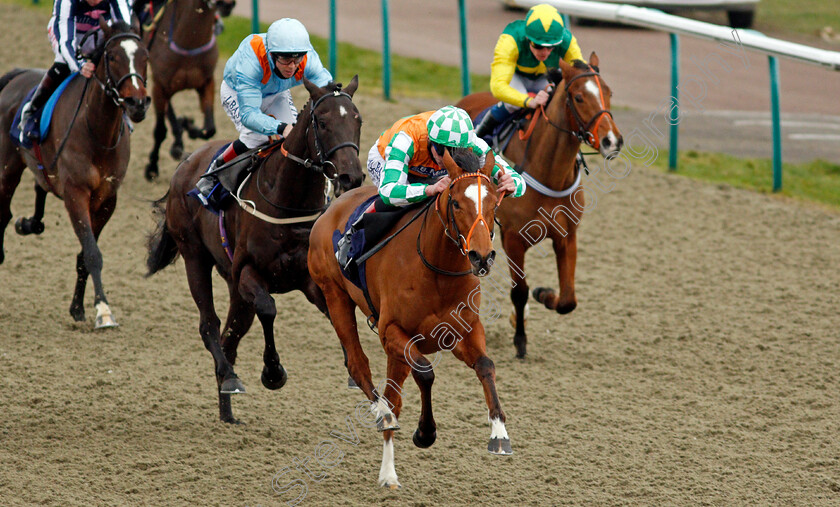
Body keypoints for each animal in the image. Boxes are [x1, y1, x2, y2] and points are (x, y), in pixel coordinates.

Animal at [0, 18, 149, 330]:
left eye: (145, 56)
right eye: (112, 56)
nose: (138, 104)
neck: (98, 132)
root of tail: (17, 75)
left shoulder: (106, 200)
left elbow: (85, 254)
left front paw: (80, 308)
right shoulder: (75, 193)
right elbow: (92, 252)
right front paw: (104, 311)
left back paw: (30, 223)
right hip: (7, 168)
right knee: (3, 213)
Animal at [140, 0, 233, 182]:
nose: (227, 5)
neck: (189, 41)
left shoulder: (207, 83)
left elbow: (209, 129)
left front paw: (188, 125)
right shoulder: (159, 86)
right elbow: (160, 130)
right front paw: (152, 168)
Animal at [146, 75, 362, 424]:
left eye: (357, 120)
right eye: (322, 121)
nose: (350, 176)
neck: (289, 203)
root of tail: (185, 164)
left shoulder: (308, 279)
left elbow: (336, 312)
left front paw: (354, 370)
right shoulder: (249, 272)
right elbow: (269, 308)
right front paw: (273, 373)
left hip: (234, 288)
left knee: (230, 337)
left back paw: (227, 409)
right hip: (195, 257)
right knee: (210, 326)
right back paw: (230, 379)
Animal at [310, 147, 512, 488]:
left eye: (495, 202)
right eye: (456, 203)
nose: (481, 257)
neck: (437, 270)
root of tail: (331, 207)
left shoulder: (463, 331)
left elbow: (486, 365)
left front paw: (499, 433)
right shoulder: (392, 332)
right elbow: (426, 373)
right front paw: (425, 433)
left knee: (394, 395)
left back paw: (388, 468)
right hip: (335, 296)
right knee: (360, 368)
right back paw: (384, 424)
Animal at [456, 52, 620, 358]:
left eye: (609, 93)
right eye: (579, 97)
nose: (612, 140)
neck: (549, 171)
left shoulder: (567, 235)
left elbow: (568, 299)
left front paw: (544, 295)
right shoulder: (513, 238)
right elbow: (519, 291)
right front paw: (520, 340)